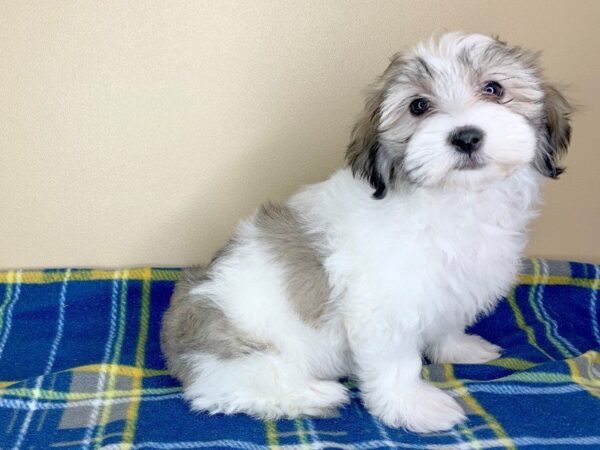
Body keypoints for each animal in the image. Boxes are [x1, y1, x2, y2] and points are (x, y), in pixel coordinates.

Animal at [159, 32, 572, 432]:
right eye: (418, 106)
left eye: (494, 88)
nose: (466, 136)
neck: (455, 199)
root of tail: (174, 341)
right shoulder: (384, 306)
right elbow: (396, 363)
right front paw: (413, 406)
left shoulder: (452, 287)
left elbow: (447, 322)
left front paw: (459, 348)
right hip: (242, 348)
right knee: (220, 389)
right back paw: (315, 395)